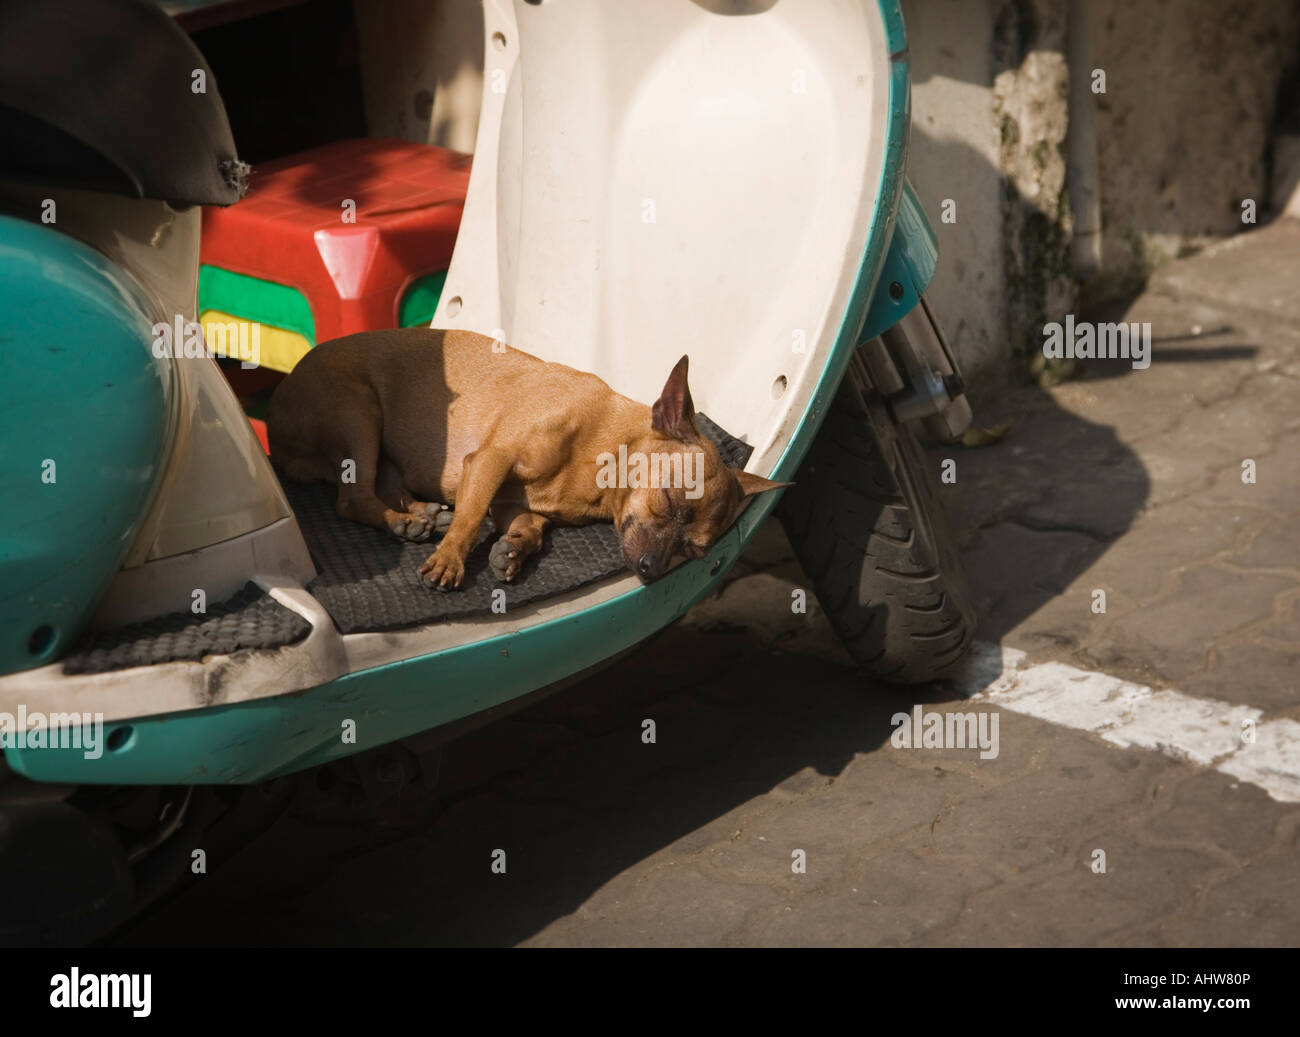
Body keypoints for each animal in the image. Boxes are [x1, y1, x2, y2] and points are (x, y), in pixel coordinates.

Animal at [266, 332, 780, 592]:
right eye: (669, 502)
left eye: (693, 551)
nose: (652, 568)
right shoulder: (490, 460)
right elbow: (471, 517)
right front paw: (451, 560)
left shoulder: (513, 504)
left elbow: (528, 530)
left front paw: (511, 551)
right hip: (359, 415)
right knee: (351, 498)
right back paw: (403, 522)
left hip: (381, 448)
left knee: (382, 485)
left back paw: (419, 515)